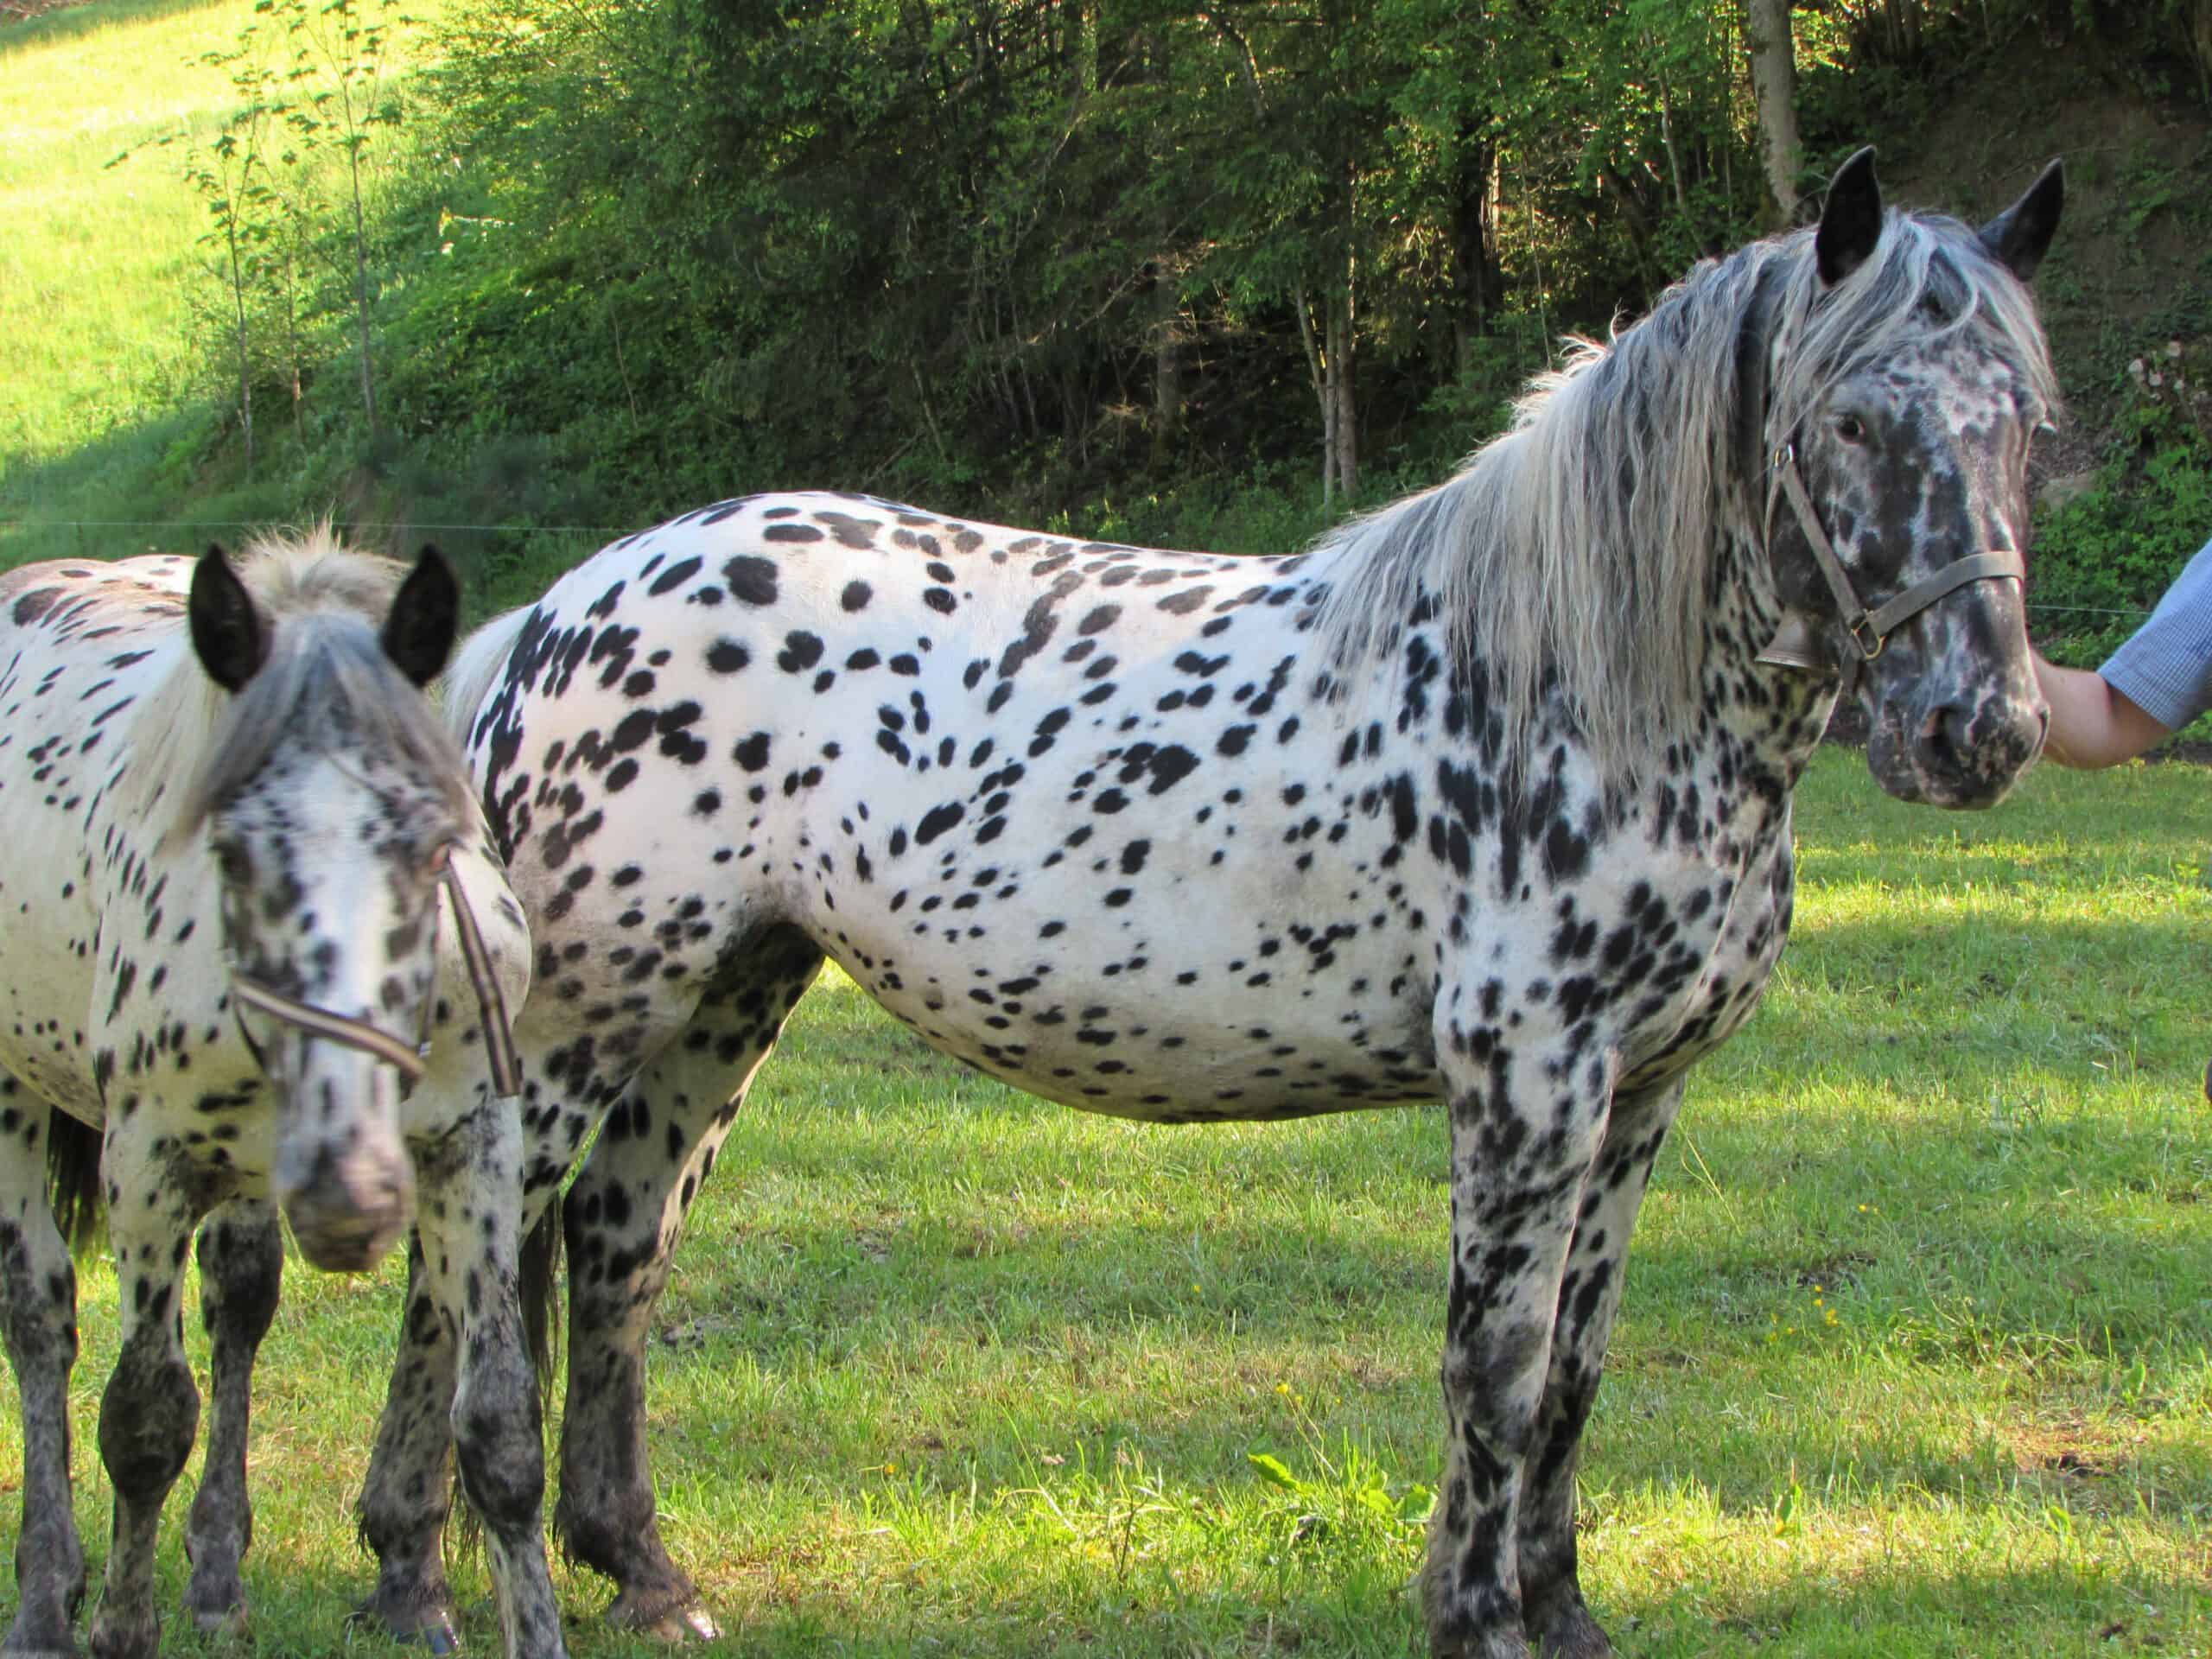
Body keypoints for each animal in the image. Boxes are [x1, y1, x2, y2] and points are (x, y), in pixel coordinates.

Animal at [0, 532, 557, 1659]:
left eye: (432, 841)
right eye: (230, 846)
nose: (353, 1197)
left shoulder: (474, 1141)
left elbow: (501, 1438)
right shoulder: (146, 1165)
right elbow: (144, 1422)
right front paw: (118, 1624)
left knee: (240, 1299)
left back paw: (217, 1577)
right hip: (16, 1093)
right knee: (38, 1316)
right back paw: (46, 1596)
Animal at [362, 149, 2070, 1654]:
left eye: (2027, 428)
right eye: (1847, 422)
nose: (1976, 733)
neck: (1577, 687)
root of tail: (557, 612)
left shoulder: (1641, 1095)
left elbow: (1579, 1375)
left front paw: (1564, 1616)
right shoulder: (1528, 1088)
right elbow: (1498, 1375)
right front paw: (1477, 1621)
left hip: (727, 995)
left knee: (609, 1242)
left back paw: (628, 1579)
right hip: (579, 1026)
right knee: (467, 1257)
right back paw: (428, 1583)